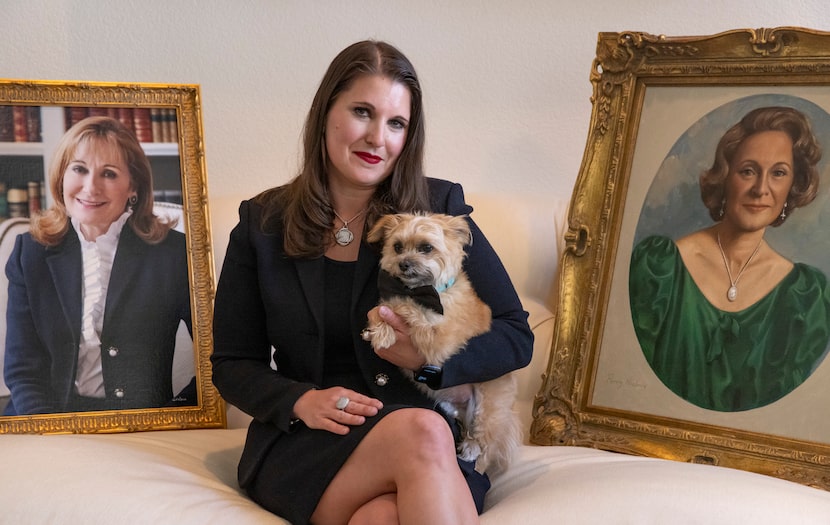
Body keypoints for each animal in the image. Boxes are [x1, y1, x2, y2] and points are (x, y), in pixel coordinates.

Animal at [362, 211, 520, 472]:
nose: (404, 263)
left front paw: (388, 325)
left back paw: (473, 456)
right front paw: (379, 330)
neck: (427, 290)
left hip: (486, 408)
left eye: (427, 247)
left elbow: (404, 306)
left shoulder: (440, 342)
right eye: (397, 247)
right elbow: (380, 310)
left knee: (486, 448)